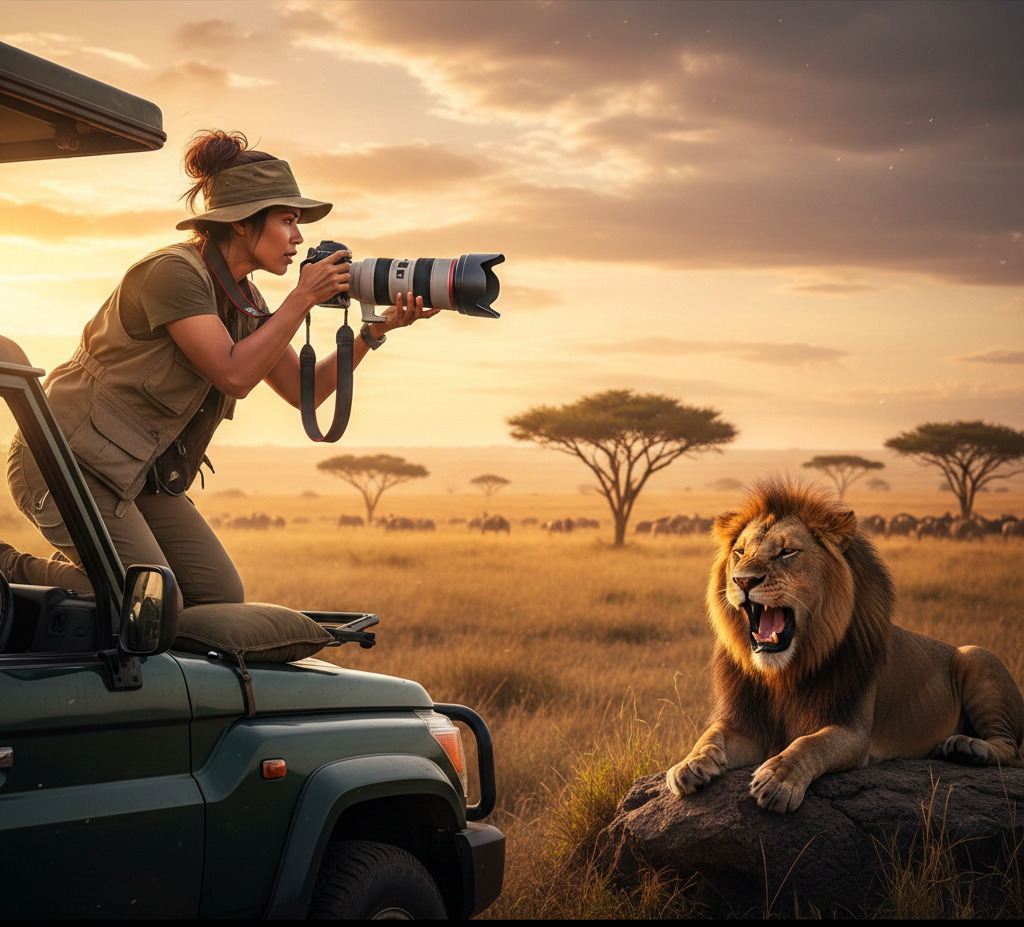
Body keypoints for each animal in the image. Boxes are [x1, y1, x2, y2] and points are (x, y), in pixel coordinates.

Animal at [666, 477, 1024, 813]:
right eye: (739, 553)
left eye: (787, 552)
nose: (743, 580)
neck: (785, 672)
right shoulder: (748, 727)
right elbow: (711, 735)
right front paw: (690, 764)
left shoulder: (852, 732)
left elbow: (809, 744)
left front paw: (778, 780)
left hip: (976, 656)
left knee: (1011, 749)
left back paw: (966, 748)